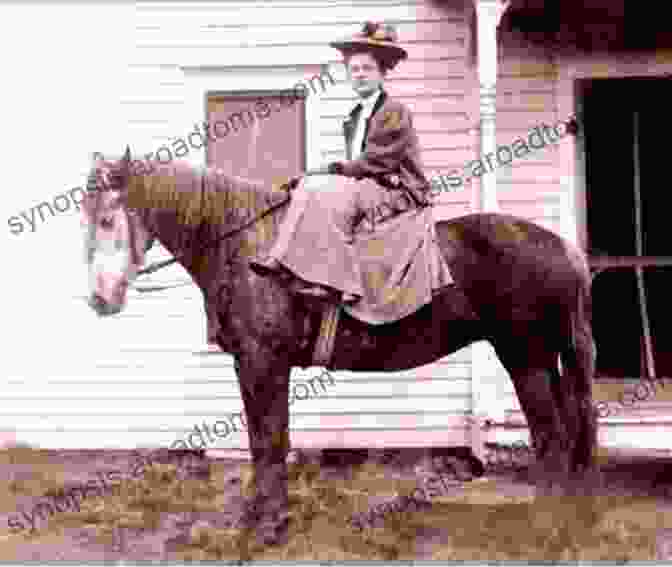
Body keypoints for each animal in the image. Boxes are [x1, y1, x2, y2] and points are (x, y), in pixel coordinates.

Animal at [81, 149, 600, 548]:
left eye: (107, 219)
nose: (100, 299)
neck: (246, 248)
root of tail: (565, 248)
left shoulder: (263, 363)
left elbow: (270, 441)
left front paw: (268, 525)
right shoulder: (252, 366)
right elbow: (262, 441)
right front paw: (258, 517)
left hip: (524, 358)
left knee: (552, 436)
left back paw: (545, 525)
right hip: (544, 360)